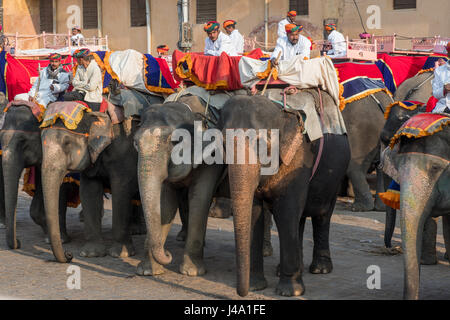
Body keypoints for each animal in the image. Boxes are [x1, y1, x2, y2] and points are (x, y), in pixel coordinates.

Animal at [40, 91, 163, 262]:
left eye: (67, 143)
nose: (69, 255)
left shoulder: (123, 150)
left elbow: (121, 190)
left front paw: (120, 254)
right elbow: (89, 191)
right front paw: (91, 254)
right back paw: (135, 230)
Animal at [133, 95, 225, 278]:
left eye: (174, 142)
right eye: (135, 143)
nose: (168, 254)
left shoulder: (211, 157)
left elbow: (200, 199)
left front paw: (191, 272)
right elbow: (165, 205)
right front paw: (148, 271)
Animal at [218, 90, 352, 298]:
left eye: (260, 143)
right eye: (223, 144)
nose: (242, 293)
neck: (279, 112)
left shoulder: (298, 158)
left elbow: (286, 212)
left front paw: (290, 292)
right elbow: (255, 213)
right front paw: (256, 286)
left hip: (336, 175)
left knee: (322, 215)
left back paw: (320, 269)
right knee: (300, 219)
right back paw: (287, 269)